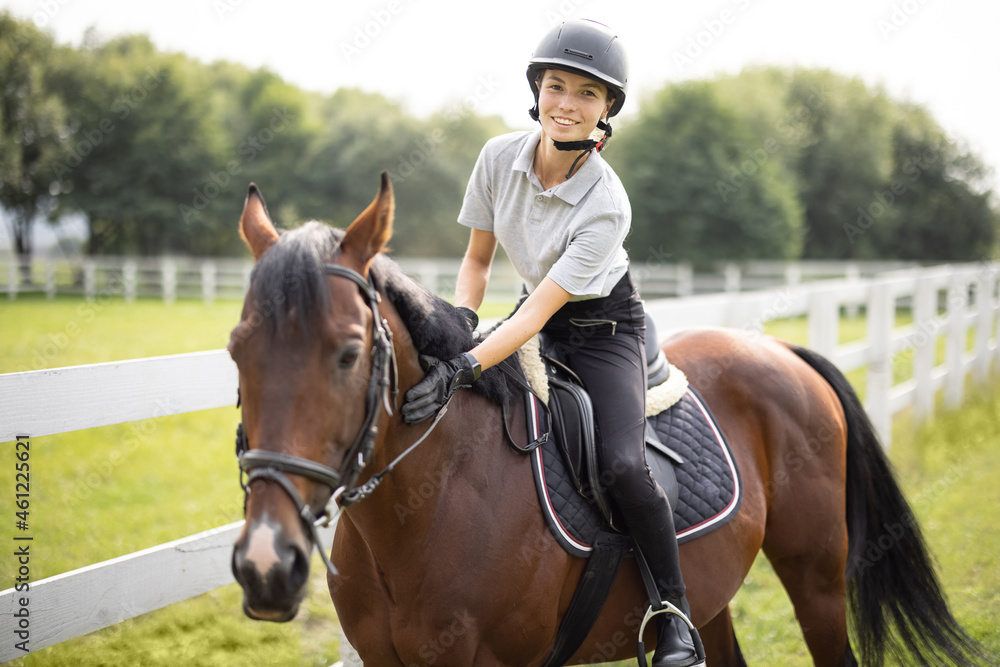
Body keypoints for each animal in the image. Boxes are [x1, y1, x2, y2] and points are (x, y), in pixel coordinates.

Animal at [229, 175, 984, 664]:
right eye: (237, 351)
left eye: (348, 353)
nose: (266, 564)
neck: (432, 500)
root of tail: (779, 349)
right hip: (716, 592)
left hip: (817, 577)